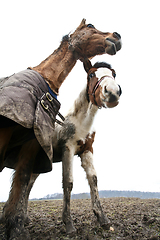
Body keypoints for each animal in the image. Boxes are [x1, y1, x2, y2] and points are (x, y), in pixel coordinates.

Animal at [0, 19, 121, 240]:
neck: (79, 122)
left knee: (28, 183)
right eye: (92, 74)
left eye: (114, 74)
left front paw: (103, 220)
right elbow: (68, 183)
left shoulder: (86, 150)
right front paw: (69, 225)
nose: (113, 93)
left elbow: (94, 180)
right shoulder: (68, 149)